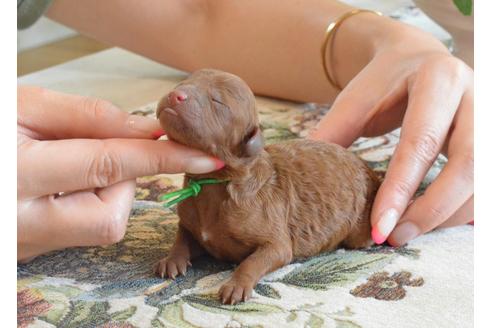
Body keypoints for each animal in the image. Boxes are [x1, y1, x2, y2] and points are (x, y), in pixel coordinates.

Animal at [156, 69, 378, 304]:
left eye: (218, 101)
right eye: (184, 82)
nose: (175, 95)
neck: (213, 182)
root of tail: (371, 171)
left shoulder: (275, 238)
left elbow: (255, 260)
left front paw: (235, 285)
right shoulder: (192, 222)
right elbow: (182, 237)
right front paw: (172, 259)